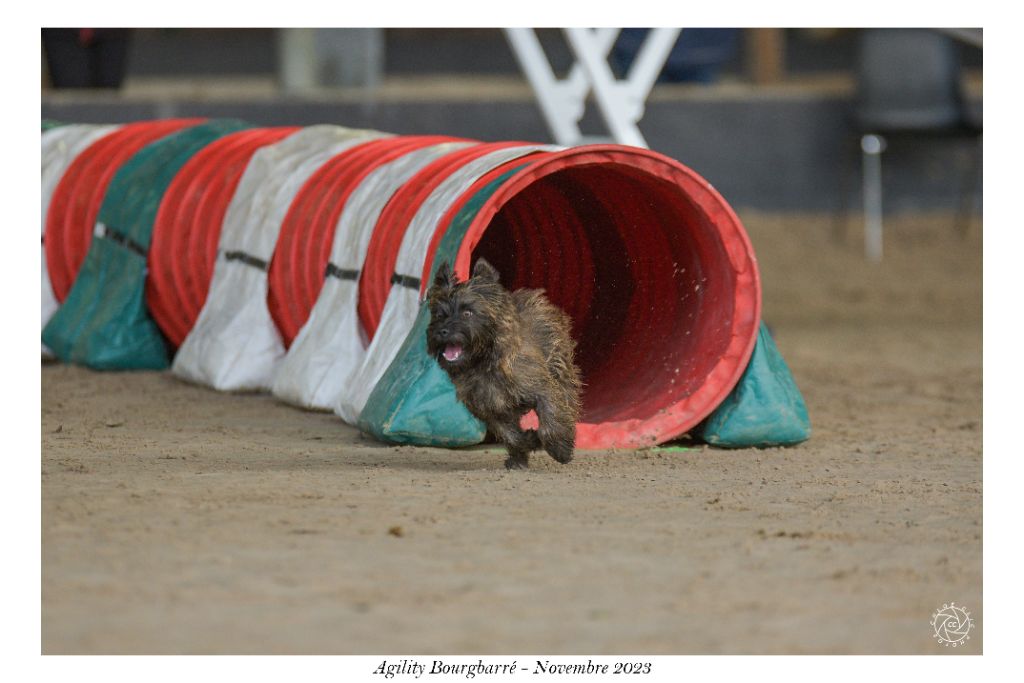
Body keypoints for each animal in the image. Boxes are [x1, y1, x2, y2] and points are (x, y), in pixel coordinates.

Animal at [425, 258, 585, 471]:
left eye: (468, 312)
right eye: (439, 315)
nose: (442, 331)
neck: (483, 363)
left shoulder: (543, 389)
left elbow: (551, 418)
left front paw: (560, 449)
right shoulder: (492, 411)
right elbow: (512, 436)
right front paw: (530, 442)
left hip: (560, 367)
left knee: (567, 399)